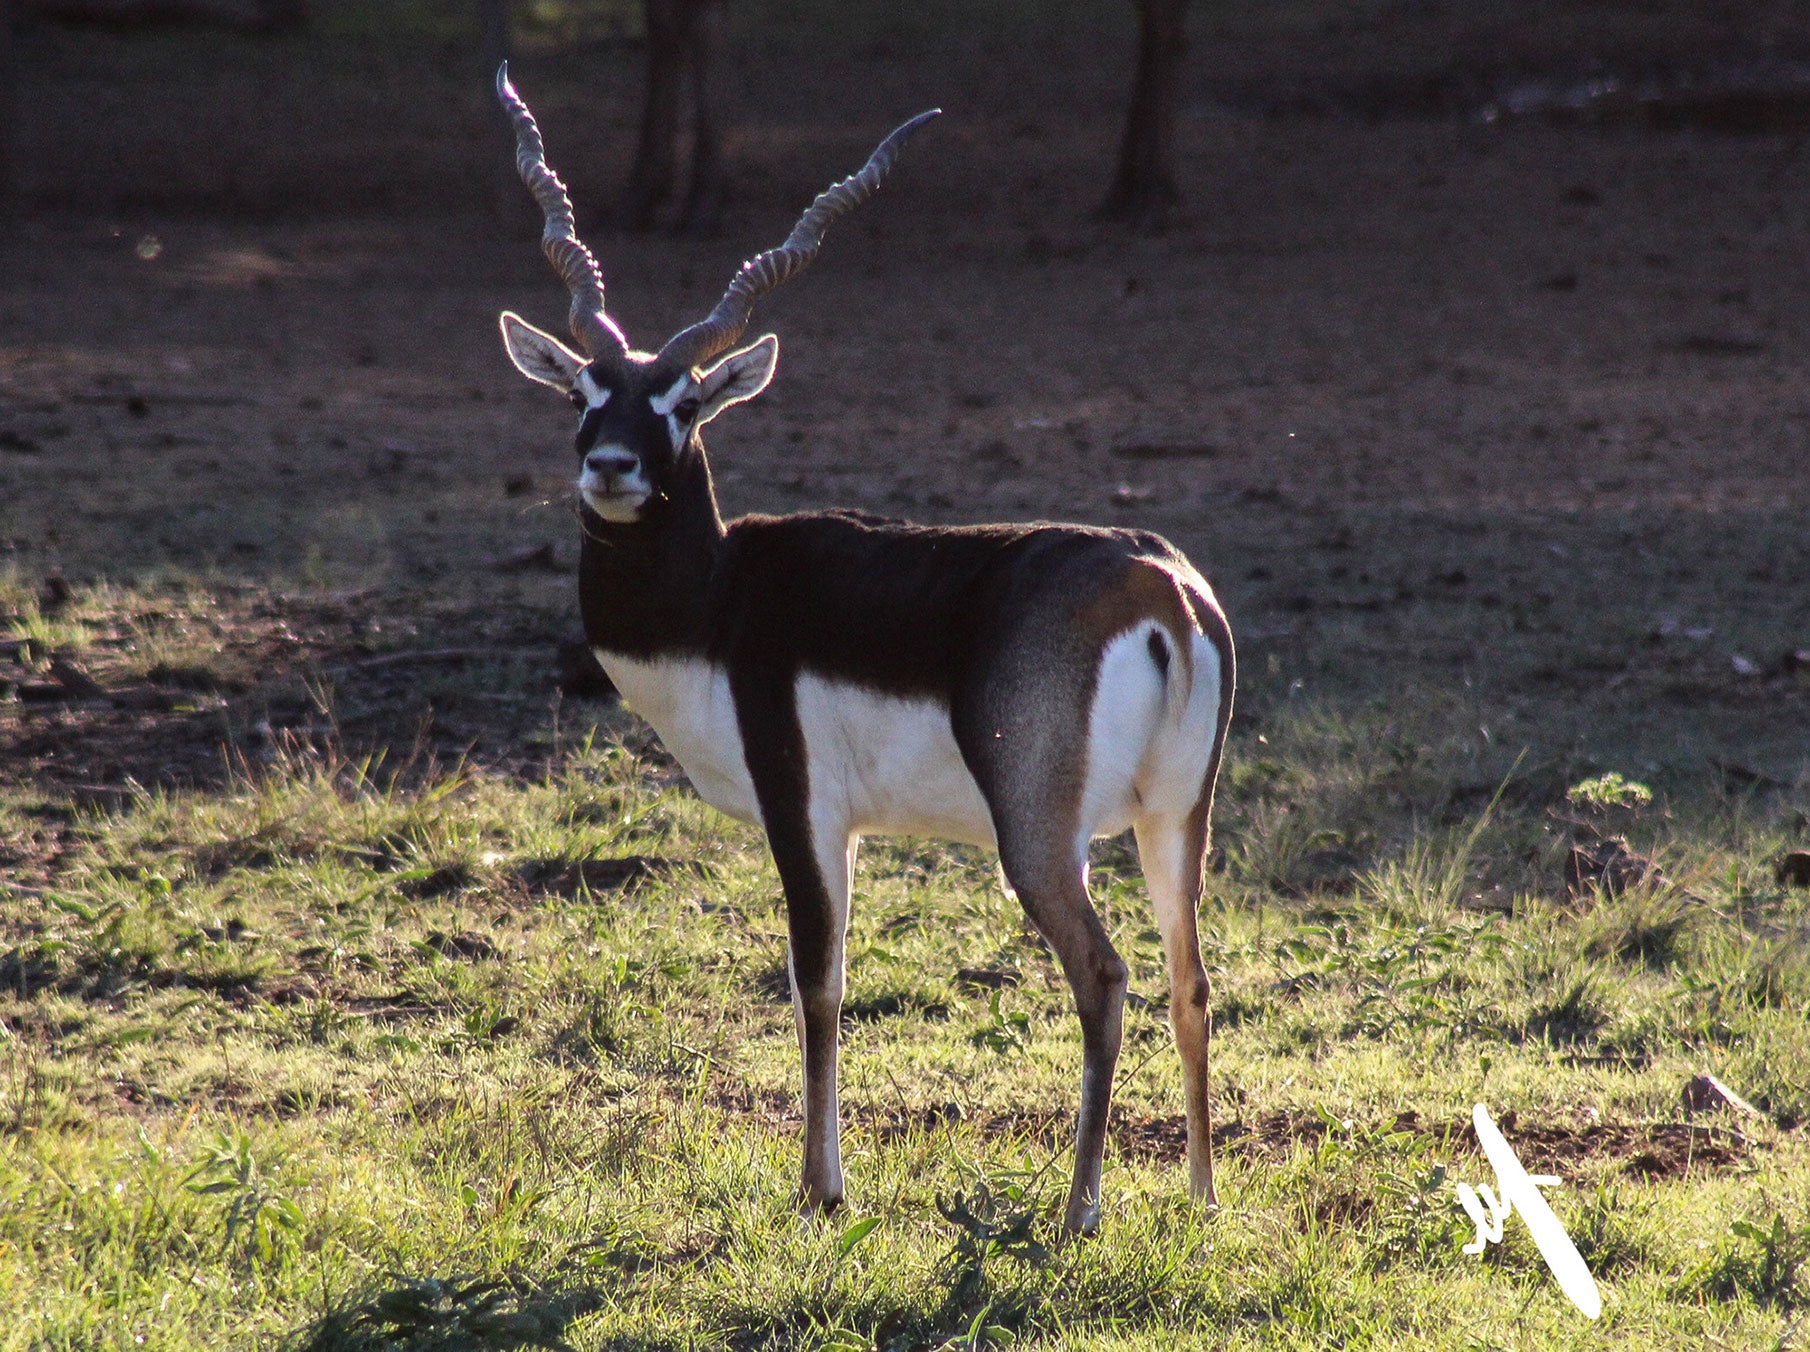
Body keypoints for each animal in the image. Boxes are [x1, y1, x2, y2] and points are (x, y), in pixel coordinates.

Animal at [494, 67, 1234, 1235]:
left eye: (684, 401)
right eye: (581, 394)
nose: (611, 465)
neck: (718, 599)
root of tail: (1157, 583)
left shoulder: (801, 807)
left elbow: (818, 982)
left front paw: (820, 1188)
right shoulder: (850, 828)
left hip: (1042, 840)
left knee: (1106, 975)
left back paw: (1077, 1208)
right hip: (1174, 822)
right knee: (1189, 980)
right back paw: (1200, 1200)